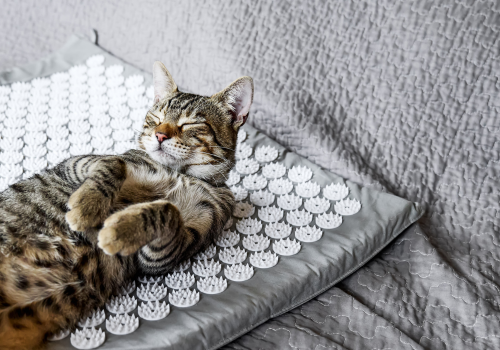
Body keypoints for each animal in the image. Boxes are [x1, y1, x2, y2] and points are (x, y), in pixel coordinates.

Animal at [0, 61, 252, 348]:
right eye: (155, 117)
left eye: (190, 124)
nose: (160, 135)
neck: (181, 174)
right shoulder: (76, 164)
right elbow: (114, 163)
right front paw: (86, 207)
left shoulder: (170, 251)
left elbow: (168, 211)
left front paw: (119, 230)